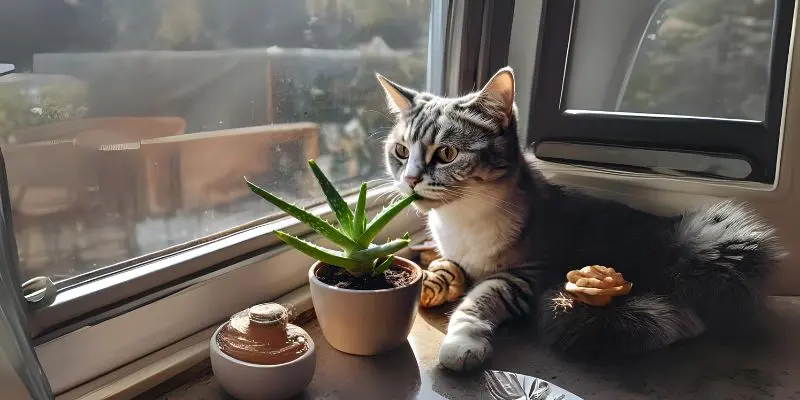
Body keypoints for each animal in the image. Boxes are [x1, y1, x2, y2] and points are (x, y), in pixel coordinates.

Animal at [378, 66, 784, 372]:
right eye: (401, 151)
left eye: (446, 153)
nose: (410, 179)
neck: (460, 219)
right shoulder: (453, 256)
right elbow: (446, 270)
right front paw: (434, 284)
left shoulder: (528, 272)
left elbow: (481, 299)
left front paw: (462, 342)